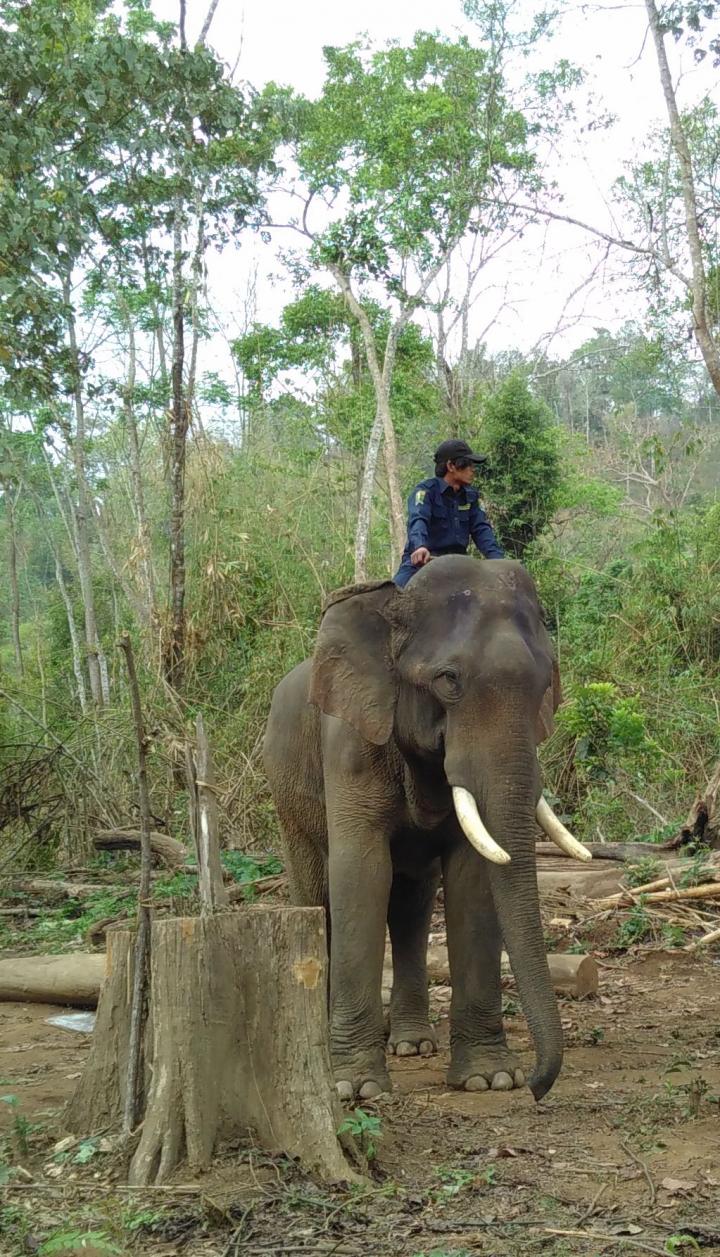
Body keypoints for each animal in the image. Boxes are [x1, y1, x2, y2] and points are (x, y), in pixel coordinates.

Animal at [263, 556, 590, 1104]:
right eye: (449, 679)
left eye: (546, 683)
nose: (538, 1087)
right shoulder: (351, 743)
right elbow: (361, 872)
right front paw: (354, 1088)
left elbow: (473, 877)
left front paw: (489, 1079)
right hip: (286, 795)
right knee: (316, 895)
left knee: (411, 907)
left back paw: (413, 1044)